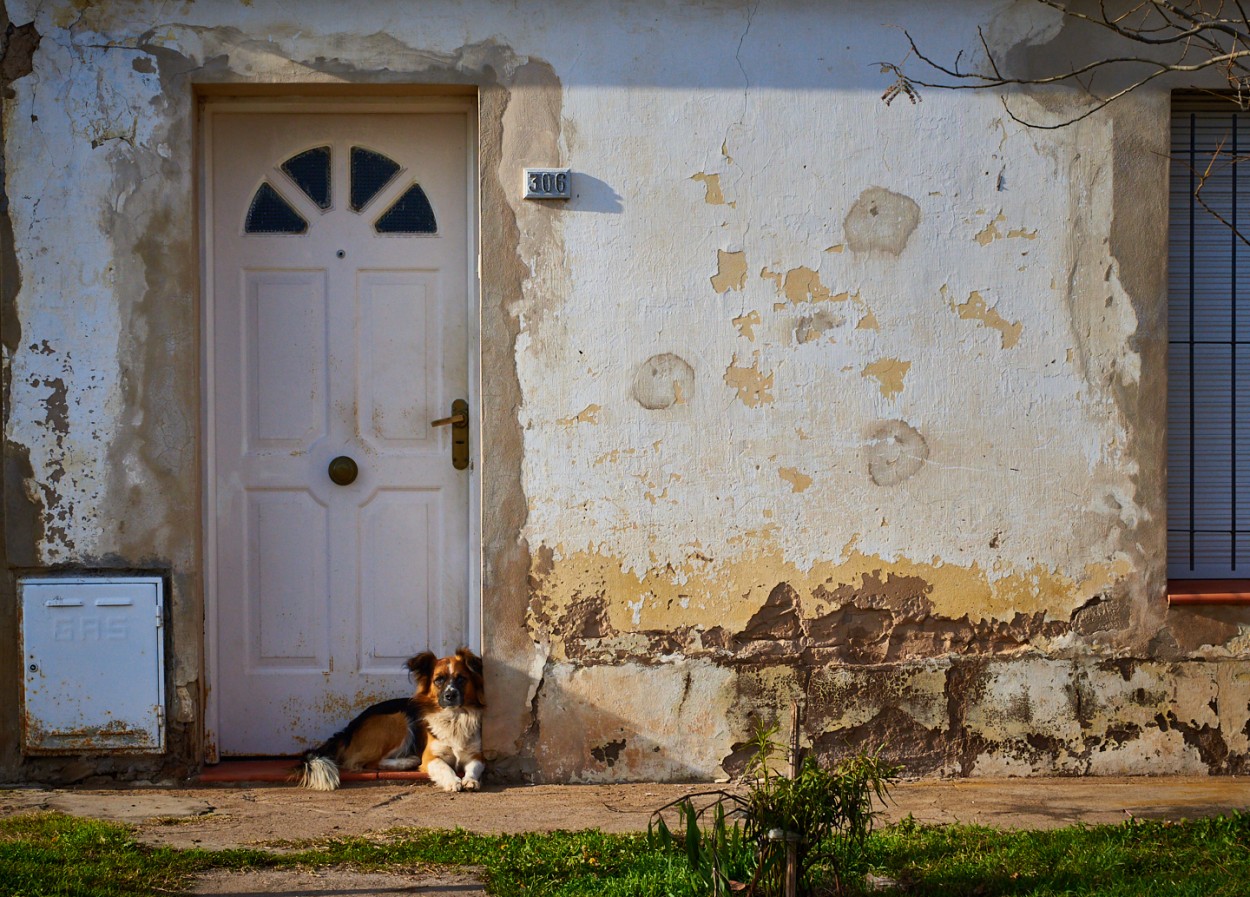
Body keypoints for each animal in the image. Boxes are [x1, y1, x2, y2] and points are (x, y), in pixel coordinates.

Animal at [295, 644, 485, 794]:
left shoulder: (476, 754)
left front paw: (470, 780)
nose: (450, 695)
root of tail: (347, 730)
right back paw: (407, 761)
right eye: (438, 680)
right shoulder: (430, 757)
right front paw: (453, 781)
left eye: (461, 679)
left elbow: (474, 767)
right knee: (368, 763)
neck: (454, 717)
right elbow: (444, 767)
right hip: (397, 720)